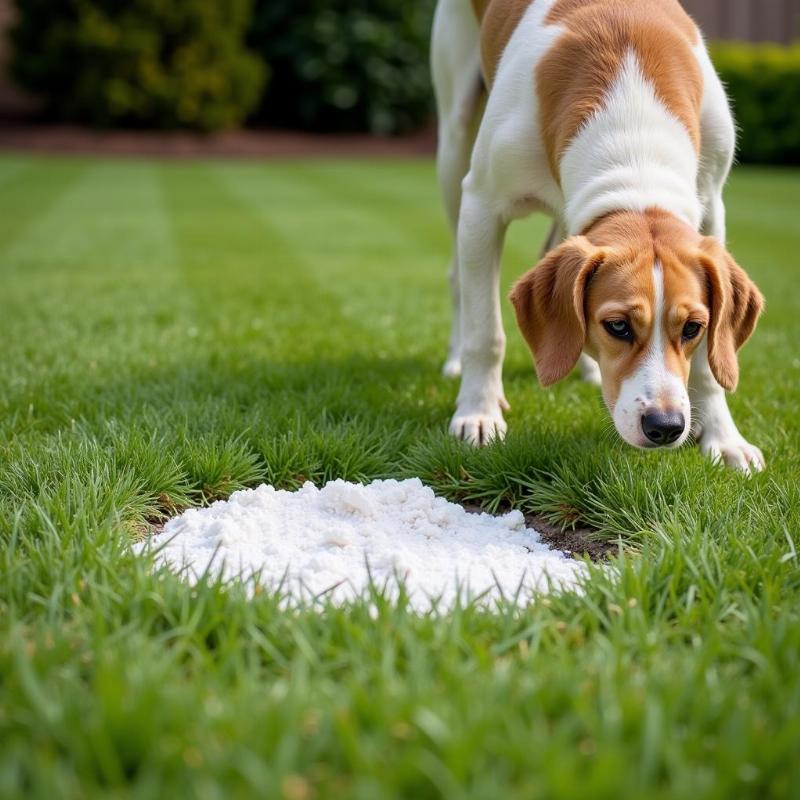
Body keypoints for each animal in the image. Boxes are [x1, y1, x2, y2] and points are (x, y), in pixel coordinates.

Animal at [434, 0, 764, 472]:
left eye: (693, 328)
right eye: (618, 326)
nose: (666, 427)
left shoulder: (712, 207)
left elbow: (709, 361)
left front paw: (723, 436)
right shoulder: (481, 204)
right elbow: (487, 332)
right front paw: (479, 414)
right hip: (453, 143)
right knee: (459, 279)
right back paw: (457, 360)